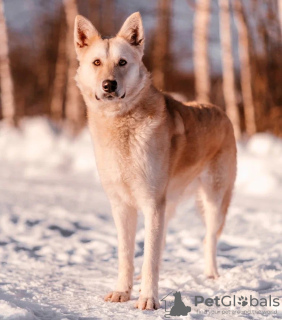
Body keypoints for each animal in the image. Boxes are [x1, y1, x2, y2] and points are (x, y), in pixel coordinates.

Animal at [74, 12, 237, 310]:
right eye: (97, 62)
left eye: (122, 62)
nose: (109, 85)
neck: (121, 124)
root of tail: (219, 110)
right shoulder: (122, 205)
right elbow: (127, 254)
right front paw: (122, 291)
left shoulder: (152, 203)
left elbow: (149, 256)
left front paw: (148, 299)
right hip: (168, 204)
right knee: (161, 244)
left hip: (213, 200)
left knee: (208, 239)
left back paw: (211, 274)